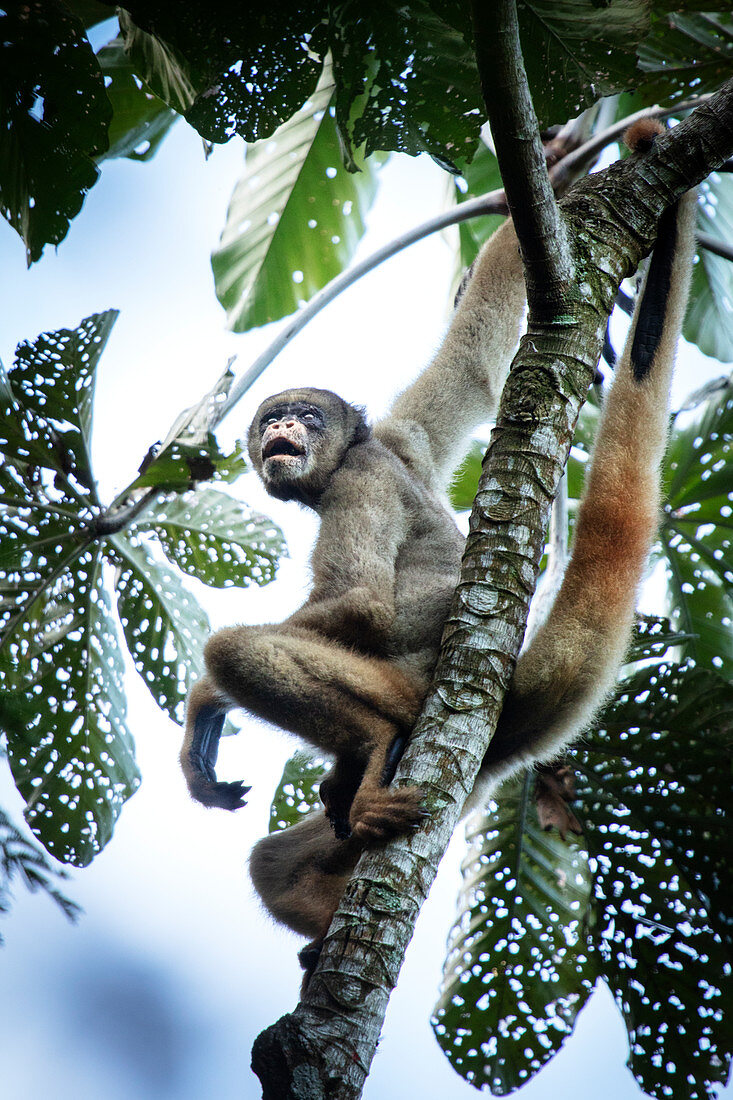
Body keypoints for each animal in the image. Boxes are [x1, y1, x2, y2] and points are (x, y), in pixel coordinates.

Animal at [179, 118, 695, 981]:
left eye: (305, 419)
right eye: (272, 418)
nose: (280, 428)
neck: (357, 451)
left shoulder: (358, 476)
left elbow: (356, 605)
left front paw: (201, 704)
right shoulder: (403, 437)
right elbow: (476, 348)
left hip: (405, 691)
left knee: (243, 651)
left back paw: (362, 748)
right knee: (272, 862)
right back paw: (324, 912)